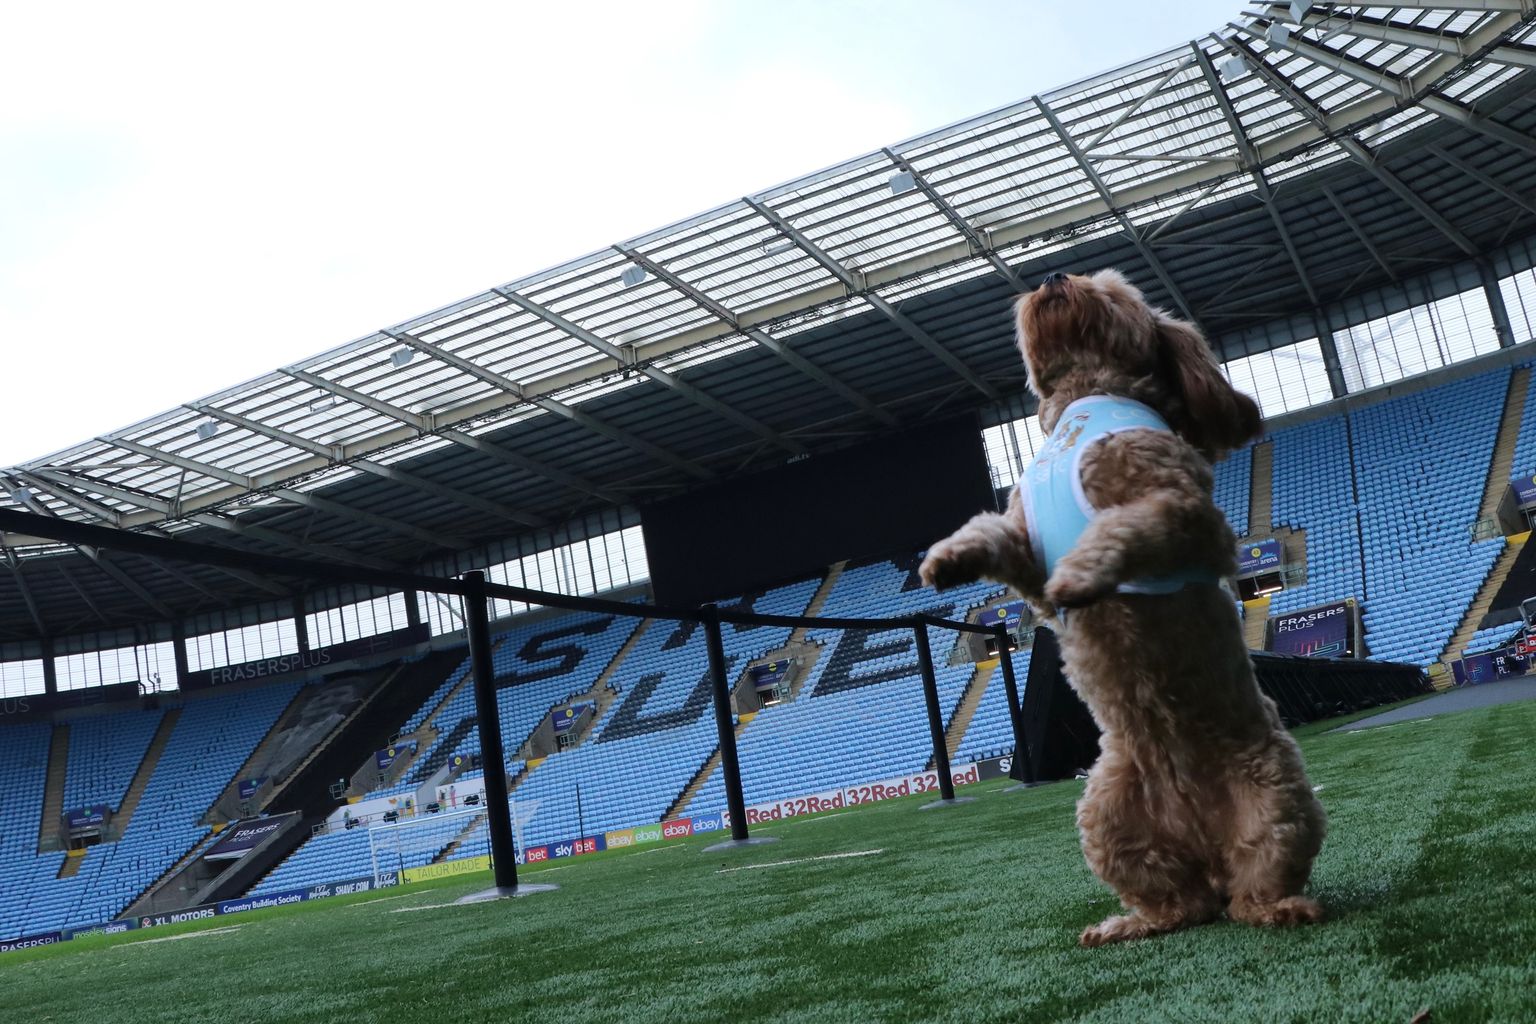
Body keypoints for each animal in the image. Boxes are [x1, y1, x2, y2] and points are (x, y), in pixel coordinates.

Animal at [915, 268, 1327, 951]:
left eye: (1109, 289)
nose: (1055, 275)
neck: (1086, 397)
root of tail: (1204, 842)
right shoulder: (1025, 548)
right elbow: (991, 534)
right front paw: (946, 558)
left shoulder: (1188, 515)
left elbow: (1128, 526)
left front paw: (1082, 575)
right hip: (1105, 812)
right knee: (1181, 903)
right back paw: (1127, 923)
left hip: (1276, 793)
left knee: (1252, 888)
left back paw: (1282, 907)